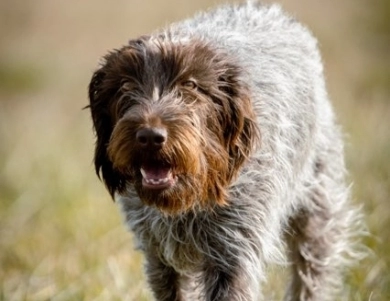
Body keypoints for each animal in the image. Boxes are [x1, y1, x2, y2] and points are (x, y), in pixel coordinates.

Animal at [87, 2, 364, 300]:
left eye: (191, 85)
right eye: (126, 86)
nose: (150, 137)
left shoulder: (234, 253)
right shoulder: (160, 259)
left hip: (316, 213)